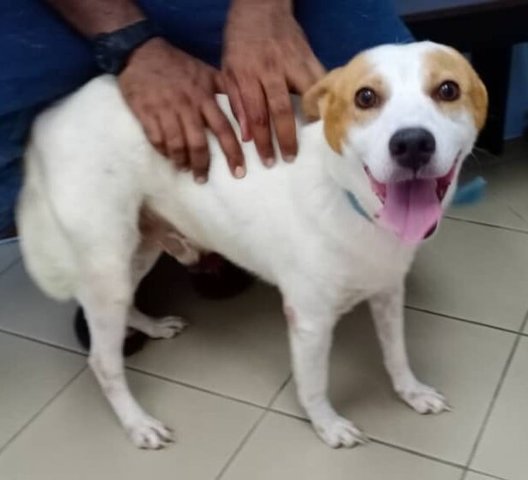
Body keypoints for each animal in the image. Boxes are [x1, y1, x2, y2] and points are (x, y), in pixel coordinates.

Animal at [15, 41, 486, 450]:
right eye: (365, 97)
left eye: (448, 90)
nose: (412, 143)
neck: (351, 200)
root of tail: (50, 116)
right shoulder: (310, 320)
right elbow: (313, 384)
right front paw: (327, 425)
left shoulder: (388, 291)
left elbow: (397, 354)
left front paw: (412, 392)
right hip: (106, 260)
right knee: (102, 361)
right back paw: (138, 423)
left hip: (139, 247)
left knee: (123, 306)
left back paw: (151, 326)